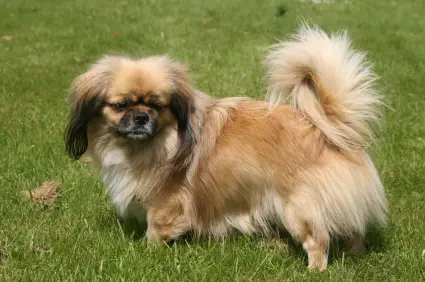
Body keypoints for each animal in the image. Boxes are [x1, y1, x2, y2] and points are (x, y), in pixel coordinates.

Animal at [64, 26, 386, 270]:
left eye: (158, 105)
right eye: (121, 105)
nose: (141, 117)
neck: (155, 142)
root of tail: (326, 127)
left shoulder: (165, 202)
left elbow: (156, 228)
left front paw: (148, 252)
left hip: (300, 207)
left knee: (318, 240)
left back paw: (314, 270)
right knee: (353, 230)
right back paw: (355, 253)